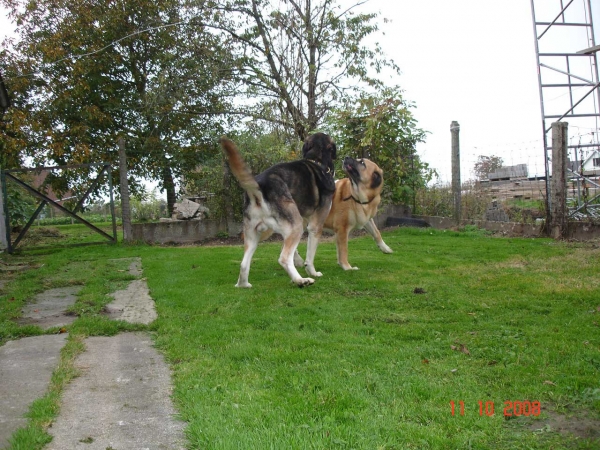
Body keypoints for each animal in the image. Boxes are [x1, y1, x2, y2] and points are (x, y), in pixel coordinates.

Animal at [221, 133, 336, 288]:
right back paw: (301, 280)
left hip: (254, 235)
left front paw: (299, 261)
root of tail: (259, 188)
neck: (316, 161)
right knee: (284, 258)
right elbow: (310, 256)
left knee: (244, 264)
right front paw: (312, 271)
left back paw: (244, 285)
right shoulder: (314, 226)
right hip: (296, 226)